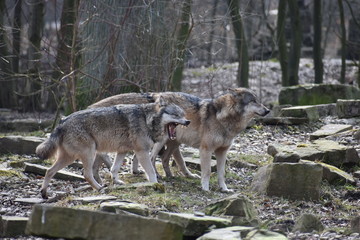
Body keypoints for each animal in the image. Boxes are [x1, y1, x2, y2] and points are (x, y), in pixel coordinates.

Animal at [35, 96, 190, 199]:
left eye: (183, 115)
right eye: (175, 115)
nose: (188, 121)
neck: (147, 120)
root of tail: (62, 122)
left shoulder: (122, 151)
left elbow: (114, 169)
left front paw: (116, 181)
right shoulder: (142, 152)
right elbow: (151, 171)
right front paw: (155, 185)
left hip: (69, 157)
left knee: (49, 171)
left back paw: (44, 193)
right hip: (88, 154)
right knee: (86, 174)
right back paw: (99, 188)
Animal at [89, 89, 270, 192]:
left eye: (259, 100)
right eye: (253, 101)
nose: (268, 110)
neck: (224, 119)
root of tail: (151, 95)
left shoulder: (222, 152)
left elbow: (221, 174)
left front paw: (224, 189)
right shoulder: (206, 149)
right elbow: (207, 172)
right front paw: (205, 188)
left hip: (173, 142)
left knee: (162, 159)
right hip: (161, 141)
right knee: (153, 158)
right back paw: (157, 177)